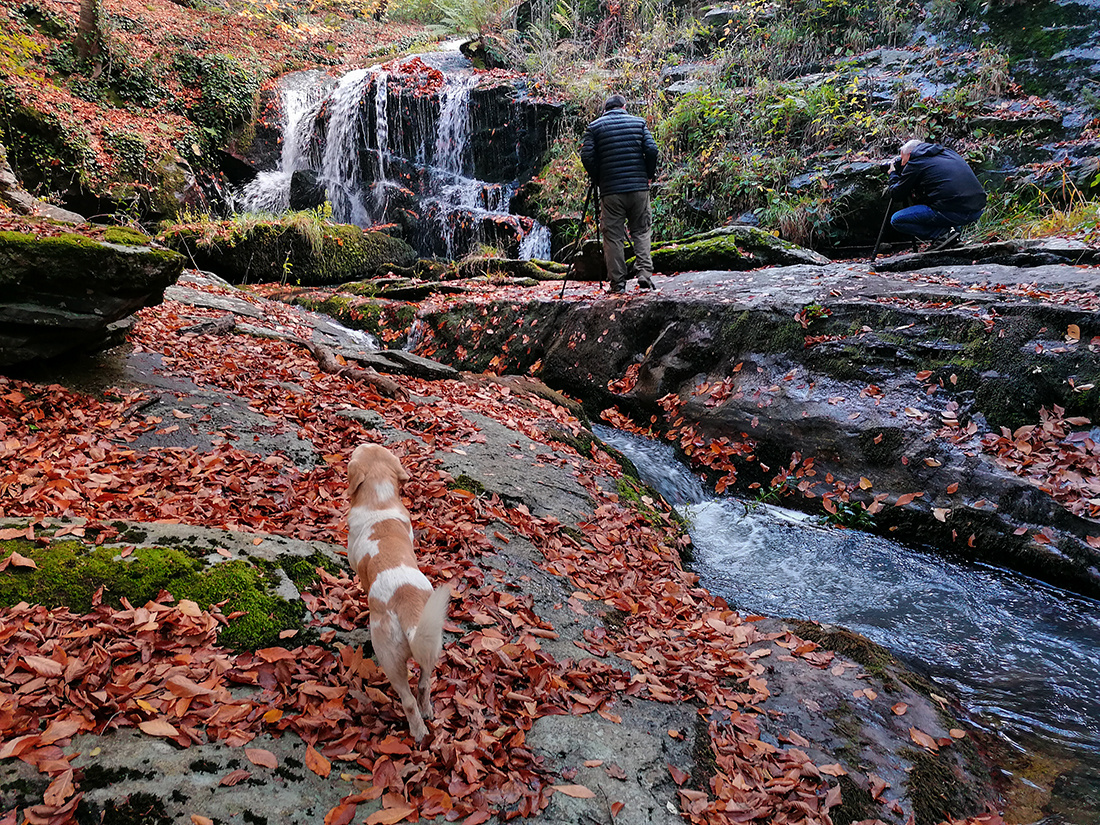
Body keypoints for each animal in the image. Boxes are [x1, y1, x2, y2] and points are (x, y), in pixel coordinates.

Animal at [343, 446, 446, 743]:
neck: (380, 502)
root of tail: (407, 602)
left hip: (389, 657)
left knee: (408, 700)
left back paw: (418, 732)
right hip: (431, 647)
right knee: (423, 686)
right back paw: (427, 713)